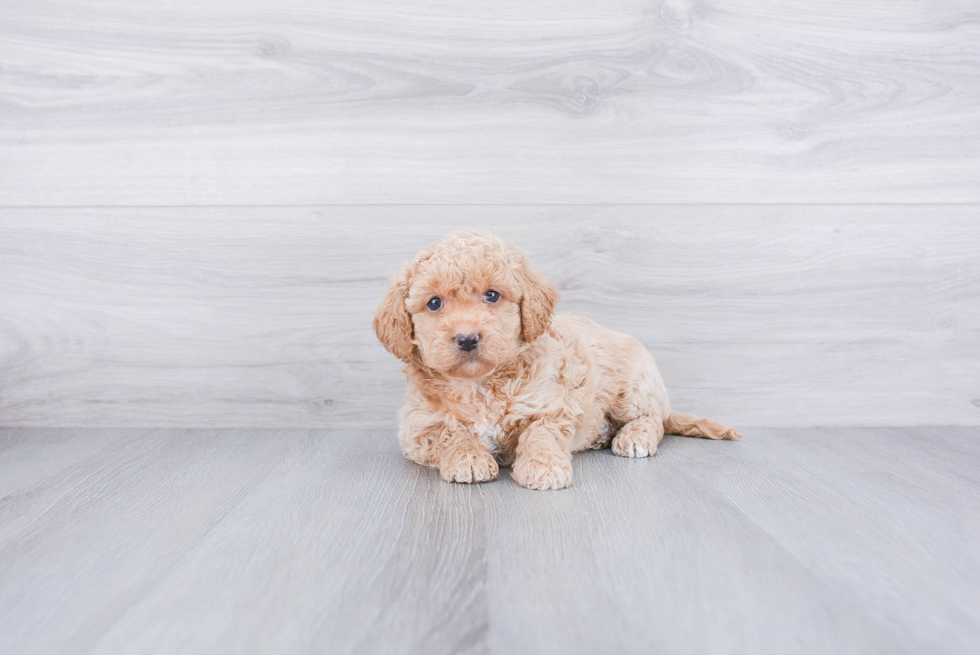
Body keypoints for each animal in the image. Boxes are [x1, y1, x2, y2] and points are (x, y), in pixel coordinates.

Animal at [376, 233, 744, 490]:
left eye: (492, 295)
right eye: (434, 303)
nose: (467, 338)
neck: (478, 384)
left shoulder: (550, 406)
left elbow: (541, 434)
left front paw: (543, 468)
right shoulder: (418, 425)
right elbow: (450, 432)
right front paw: (468, 458)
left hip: (634, 386)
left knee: (653, 419)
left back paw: (633, 438)